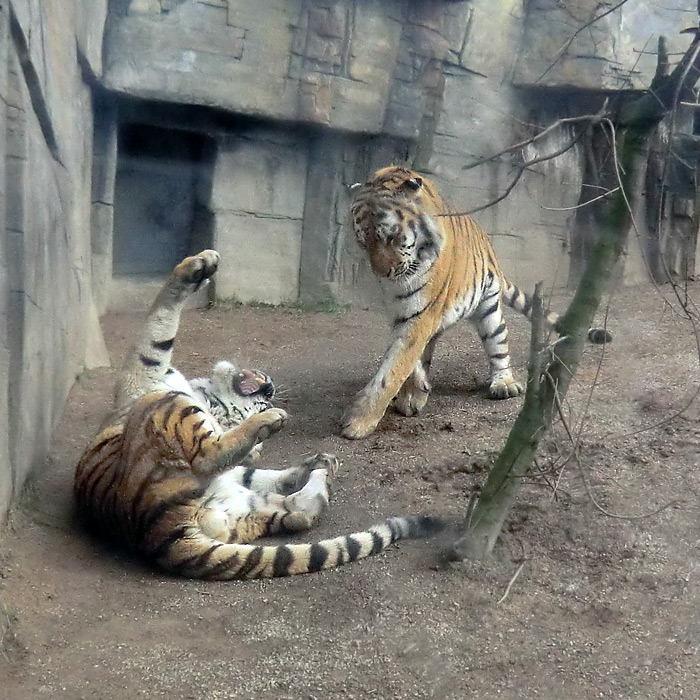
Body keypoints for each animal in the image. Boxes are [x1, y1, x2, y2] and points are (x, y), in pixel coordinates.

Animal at [74, 252, 440, 580]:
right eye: (260, 399)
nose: (271, 390)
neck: (207, 398)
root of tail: (156, 534)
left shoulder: (145, 376)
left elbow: (157, 329)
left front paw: (197, 266)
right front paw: (203, 265)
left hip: (165, 408)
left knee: (214, 458)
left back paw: (299, 446)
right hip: (237, 504)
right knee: (295, 511)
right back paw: (318, 467)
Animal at [342, 165, 608, 438]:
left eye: (392, 236)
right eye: (363, 242)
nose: (382, 273)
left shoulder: (420, 315)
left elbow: (393, 369)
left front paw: (358, 422)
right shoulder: (402, 313)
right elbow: (406, 361)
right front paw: (413, 393)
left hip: (489, 310)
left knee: (499, 346)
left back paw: (504, 383)